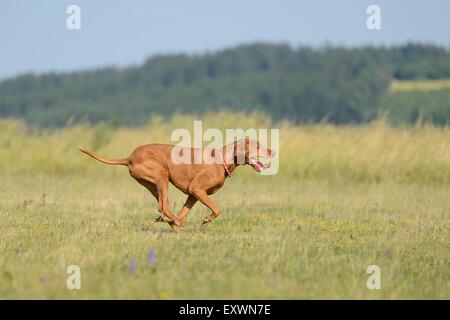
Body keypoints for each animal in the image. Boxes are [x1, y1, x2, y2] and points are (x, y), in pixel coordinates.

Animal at [80, 139, 274, 231]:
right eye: (258, 146)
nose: (273, 151)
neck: (222, 160)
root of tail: (129, 157)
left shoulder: (193, 194)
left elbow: (184, 210)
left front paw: (175, 223)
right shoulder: (197, 190)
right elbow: (217, 209)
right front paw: (205, 219)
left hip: (153, 184)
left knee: (162, 206)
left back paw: (172, 222)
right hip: (161, 176)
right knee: (163, 206)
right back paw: (174, 221)